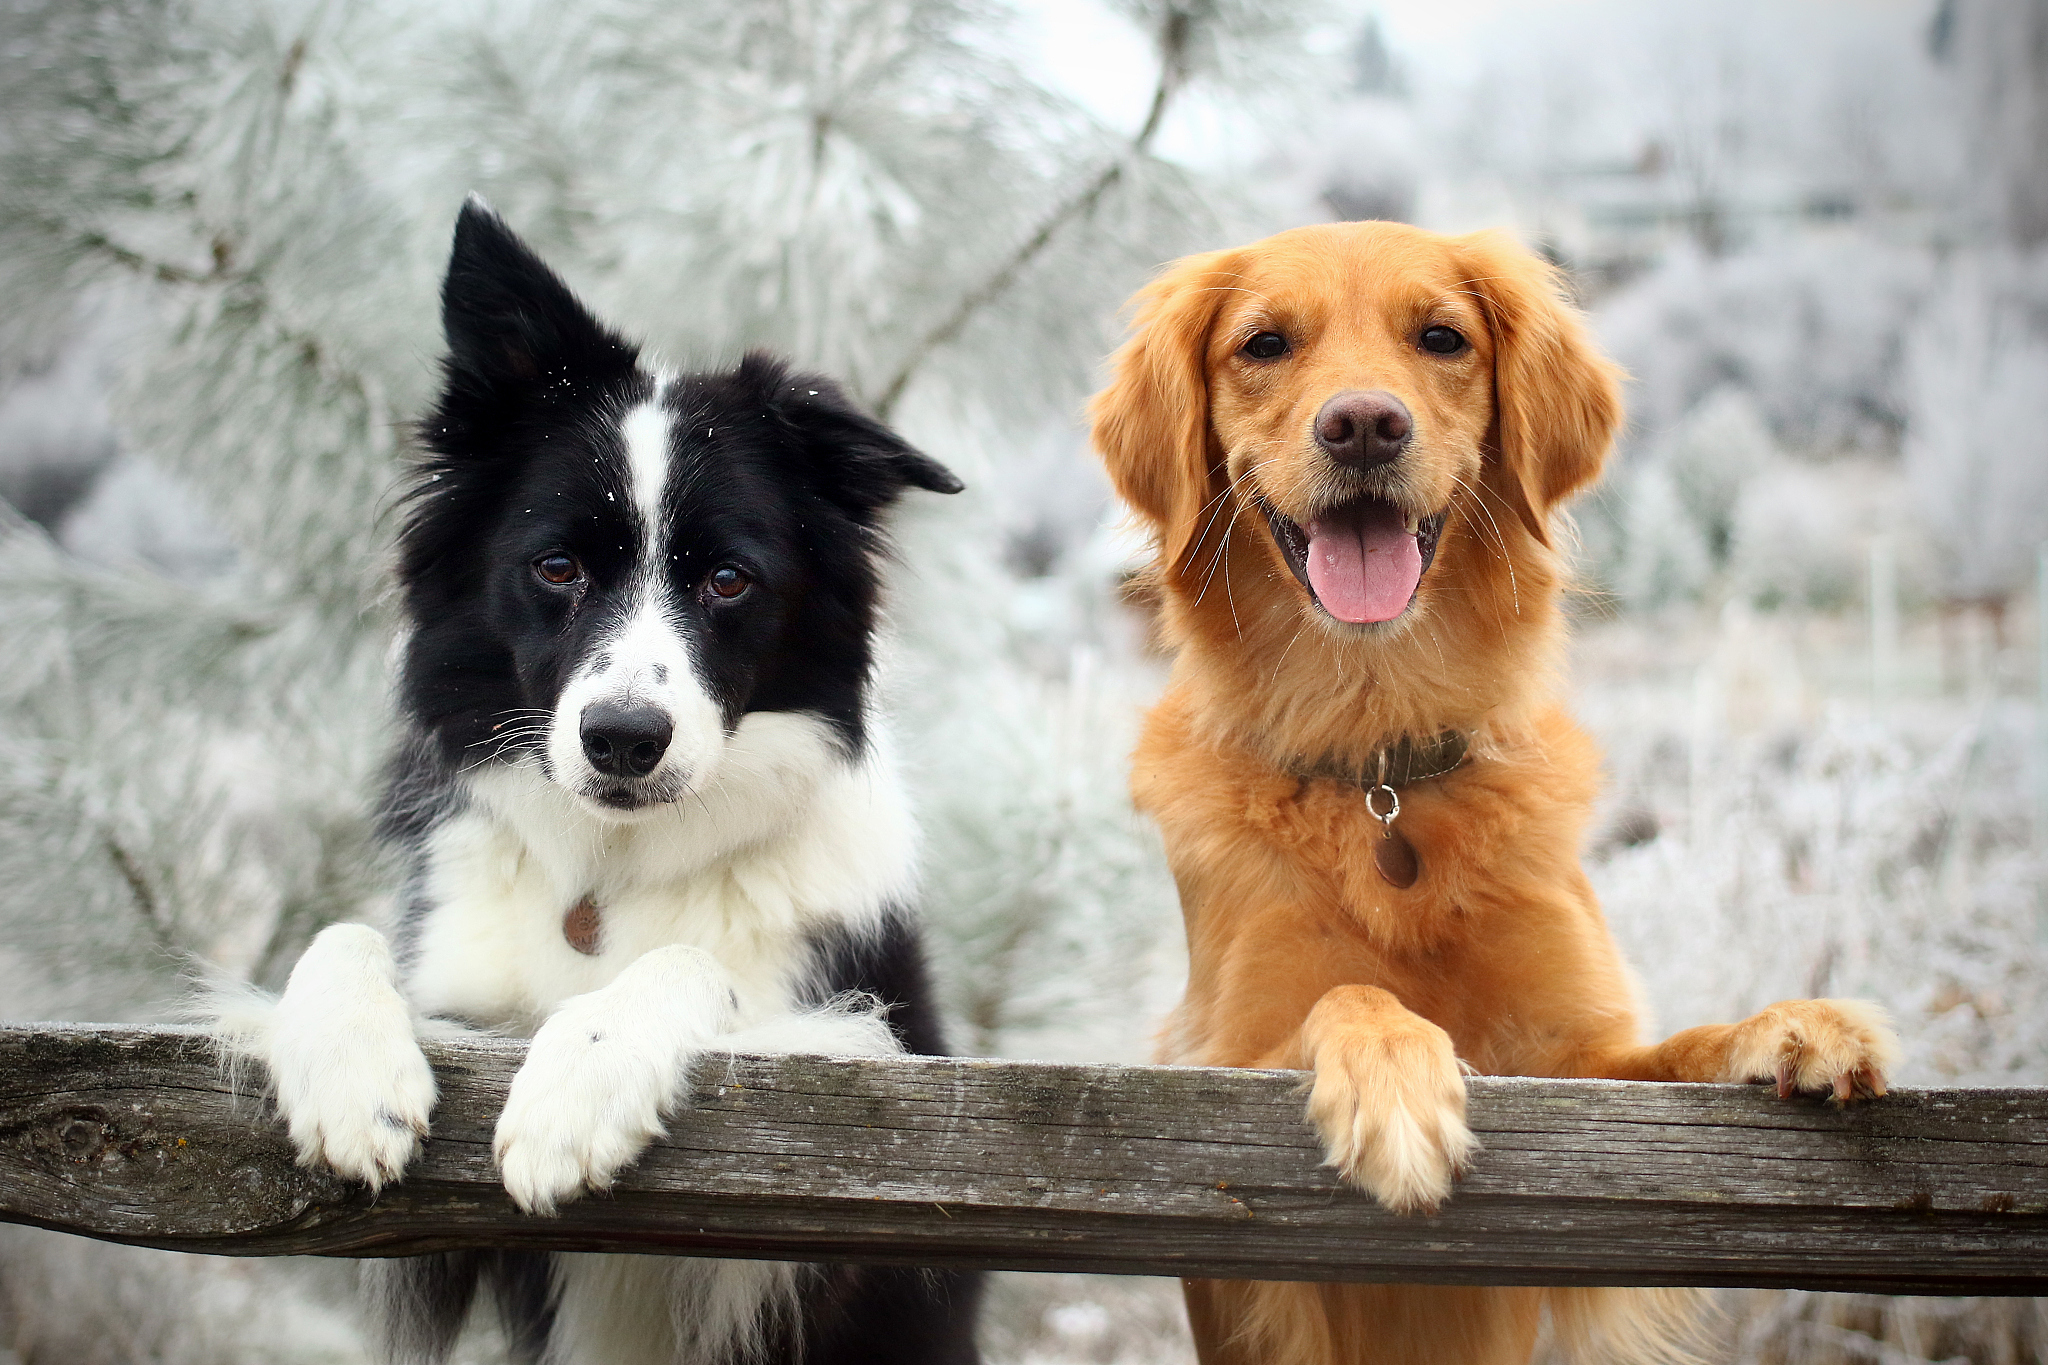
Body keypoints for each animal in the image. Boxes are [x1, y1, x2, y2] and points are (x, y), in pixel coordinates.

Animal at [224, 202, 983, 1365]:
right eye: (557, 567)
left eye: (729, 580)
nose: (624, 739)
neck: (610, 874)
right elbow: (343, 937)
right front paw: (352, 1077)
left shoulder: (848, 1145)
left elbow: (689, 963)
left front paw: (574, 1085)